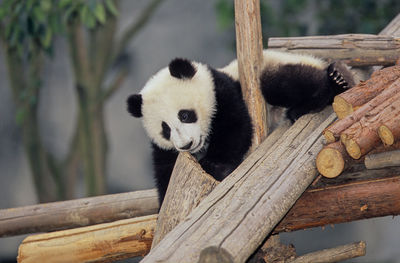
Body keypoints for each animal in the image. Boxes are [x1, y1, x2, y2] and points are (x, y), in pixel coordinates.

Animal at [126, 50, 354, 205]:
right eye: (165, 129)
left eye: (184, 115)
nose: (186, 145)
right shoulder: (164, 151)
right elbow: (165, 173)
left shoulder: (222, 90)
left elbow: (236, 128)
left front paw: (215, 166)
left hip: (278, 65)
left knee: (281, 83)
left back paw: (333, 84)